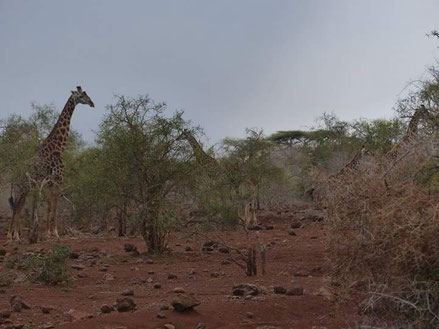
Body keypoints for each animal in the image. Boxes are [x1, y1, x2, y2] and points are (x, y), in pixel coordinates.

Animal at [7, 86, 94, 241]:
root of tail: (14, 175)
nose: (92, 103)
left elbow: (49, 205)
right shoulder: (58, 179)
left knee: (19, 206)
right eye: (82, 96)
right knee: (17, 207)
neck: (58, 147)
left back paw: (14, 235)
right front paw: (55, 233)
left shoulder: (50, 181)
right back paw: (14, 235)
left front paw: (48, 233)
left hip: (24, 188)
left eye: (86, 94)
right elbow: (55, 205)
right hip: (22, 187)